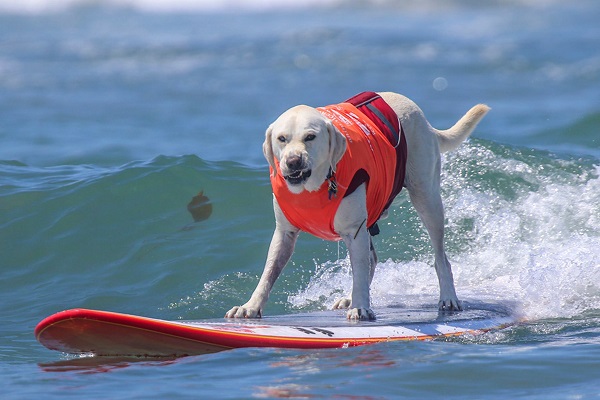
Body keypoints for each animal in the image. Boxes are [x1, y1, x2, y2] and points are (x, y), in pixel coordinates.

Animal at [225, 92, 488, 320]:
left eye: (310, 137)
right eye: (282, 139)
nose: (293, 161)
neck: (315, 186)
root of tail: (422, 117)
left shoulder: (354, 230)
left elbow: (359, 270)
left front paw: (361, 307)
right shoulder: (284, 233)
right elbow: (269, 272)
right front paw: (250, 306)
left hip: (426, 198)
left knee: (439, 256)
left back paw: (448, 297)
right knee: (371, 259)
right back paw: (349, 298)